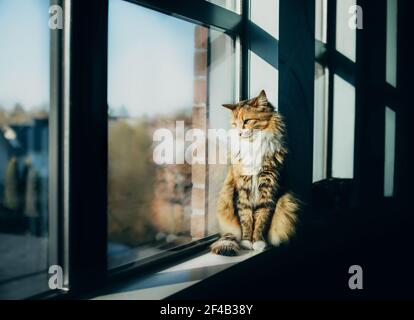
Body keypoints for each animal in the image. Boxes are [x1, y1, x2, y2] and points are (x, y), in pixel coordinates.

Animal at [210, 89, 298, 255]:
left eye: (247, 121)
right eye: (234, 124)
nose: (239, 133)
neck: (253, 147)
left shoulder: (268, 191)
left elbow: (261, 220)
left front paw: (258, 242)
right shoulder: (243, 191)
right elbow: (246, 219)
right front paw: (246, 242)